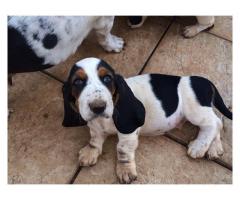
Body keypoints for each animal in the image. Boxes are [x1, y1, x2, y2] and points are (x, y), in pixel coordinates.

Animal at [62, 57, 232, 184]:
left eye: (107, 78)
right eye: (78, 82)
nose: (98, 107)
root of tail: (204, 81)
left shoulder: (129, 132)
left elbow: (122, 149)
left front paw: (125, 170)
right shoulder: (95, 127)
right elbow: (95, 139)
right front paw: (90, 151)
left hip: (195, 110)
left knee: (214, 123)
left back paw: (199, 146)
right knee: (218, 121)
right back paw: (214, 148)